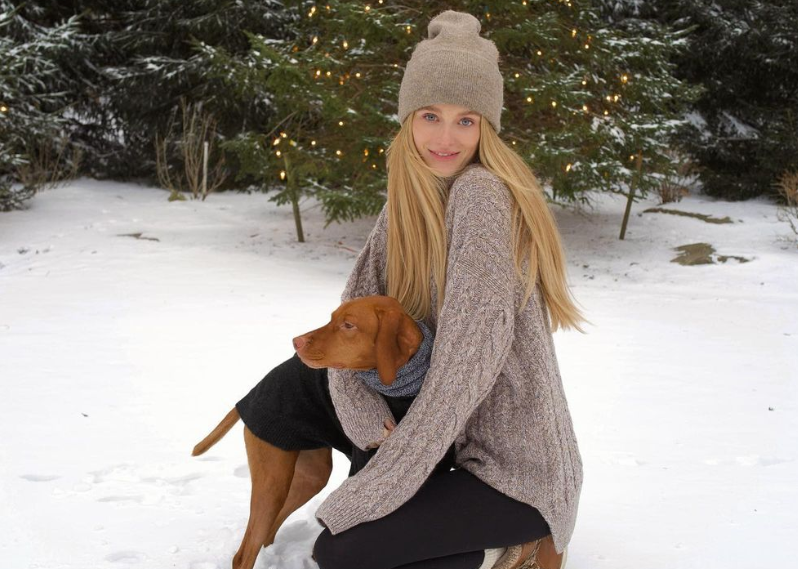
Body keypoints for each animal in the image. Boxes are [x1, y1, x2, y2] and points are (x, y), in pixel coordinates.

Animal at [193, 296, 424, 568]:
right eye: (332, 317)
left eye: (348, 325)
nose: (296, 341)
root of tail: (248, 397)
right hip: (273, 482)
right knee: (244, 553)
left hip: (312, 475)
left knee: (270, 530)